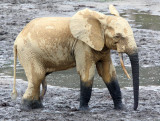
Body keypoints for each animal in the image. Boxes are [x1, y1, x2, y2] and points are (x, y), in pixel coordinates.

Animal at [11, 4, 139, 110]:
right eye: (117, 36)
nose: (134, 109)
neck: (102, 19)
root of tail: (16, 41)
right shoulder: (82, 45)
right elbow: (87, 73)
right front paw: (84, 110)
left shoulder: (101, 45)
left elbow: (108, 73)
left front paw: (121, 108)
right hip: (28, 53)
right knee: (37, 77)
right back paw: (27, 108)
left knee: (39, 79)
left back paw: (38, 107)